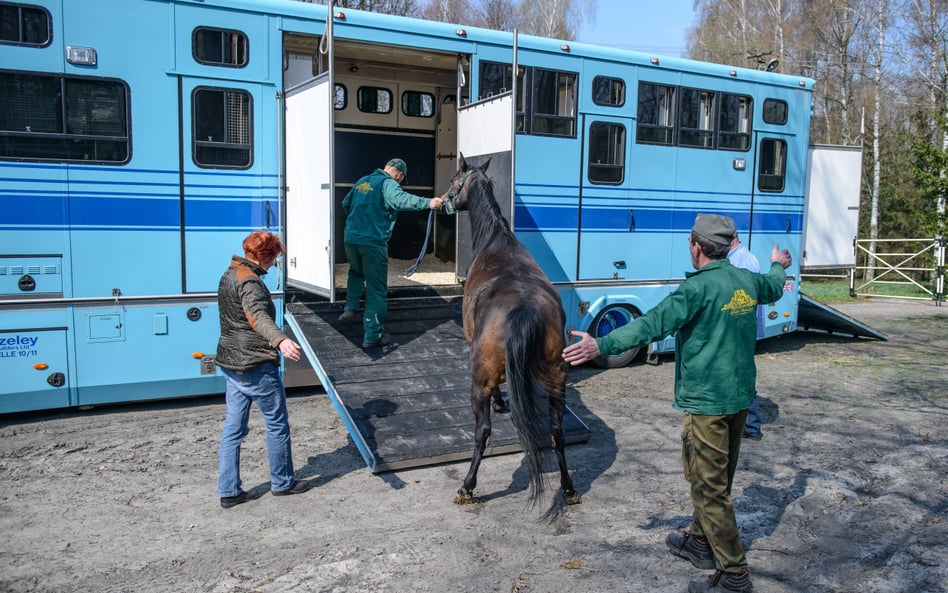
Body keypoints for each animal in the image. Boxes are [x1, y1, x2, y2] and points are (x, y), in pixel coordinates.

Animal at [450, 153, 580, 504]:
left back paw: (467, 486)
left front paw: (500, 402)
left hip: (479, 380)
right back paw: (568, 488)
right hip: (556, 377)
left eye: (454, 180)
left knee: (482, 431)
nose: (446, 201)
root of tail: (525, 309)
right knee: (557, 431)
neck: (496, 240)